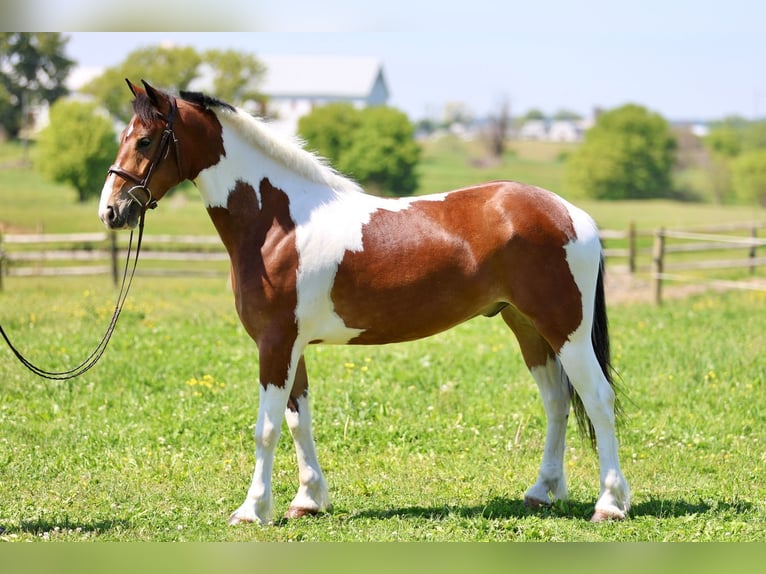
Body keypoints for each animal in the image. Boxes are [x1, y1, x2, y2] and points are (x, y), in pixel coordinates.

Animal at [99, 79, 630, 525]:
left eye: (145, 141)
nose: (111, 210)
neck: (278, 223)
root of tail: (573, 214)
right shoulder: (292, 346)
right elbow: (298, 421)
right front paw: (307, 501)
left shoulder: (274, 344)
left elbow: (266, 428)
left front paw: (252, 510)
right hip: (528, 327)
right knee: (558, 401)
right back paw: (542, 491)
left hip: (566, 330)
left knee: (598, 399)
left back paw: (609, 505)